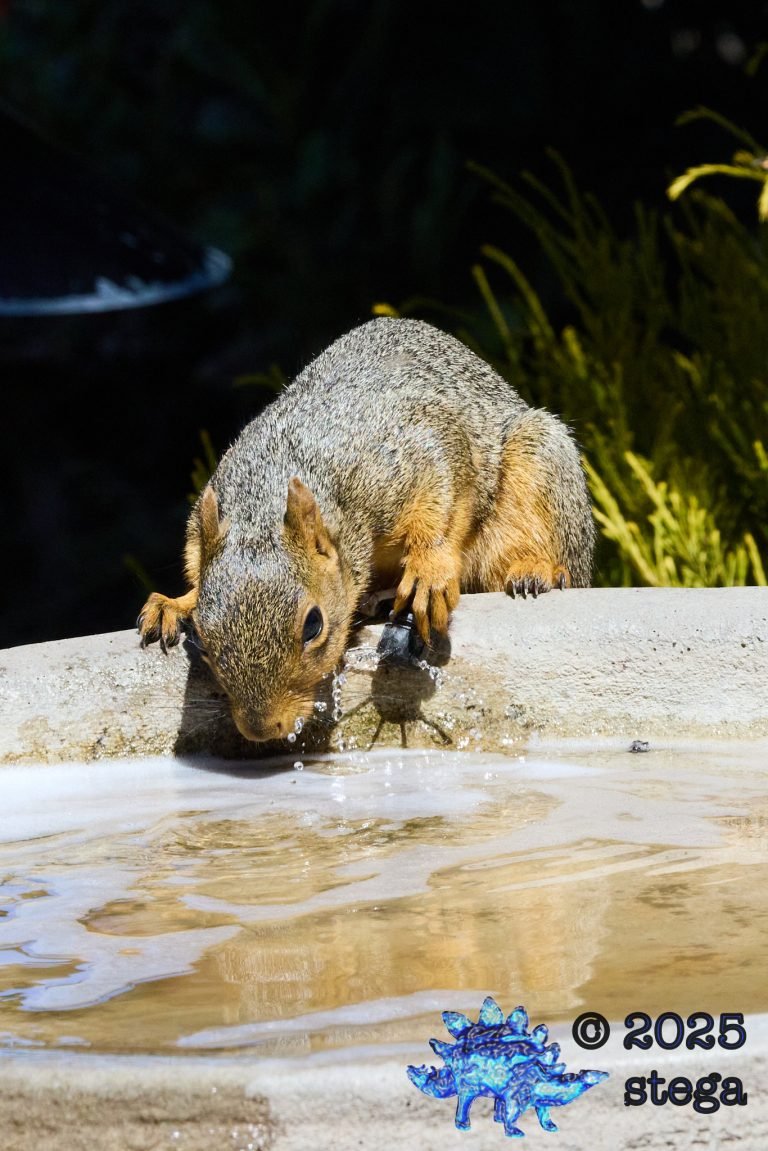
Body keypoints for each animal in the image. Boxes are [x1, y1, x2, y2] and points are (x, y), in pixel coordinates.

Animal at [138, 317, 594, 742]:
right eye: (202, 635)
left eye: (313, 625)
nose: (263, 729)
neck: (267, 495)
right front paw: (176, 603)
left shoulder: (420, 449)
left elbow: (443, 502)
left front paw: (428, 572)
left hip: (539, 468)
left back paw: (535, 570)